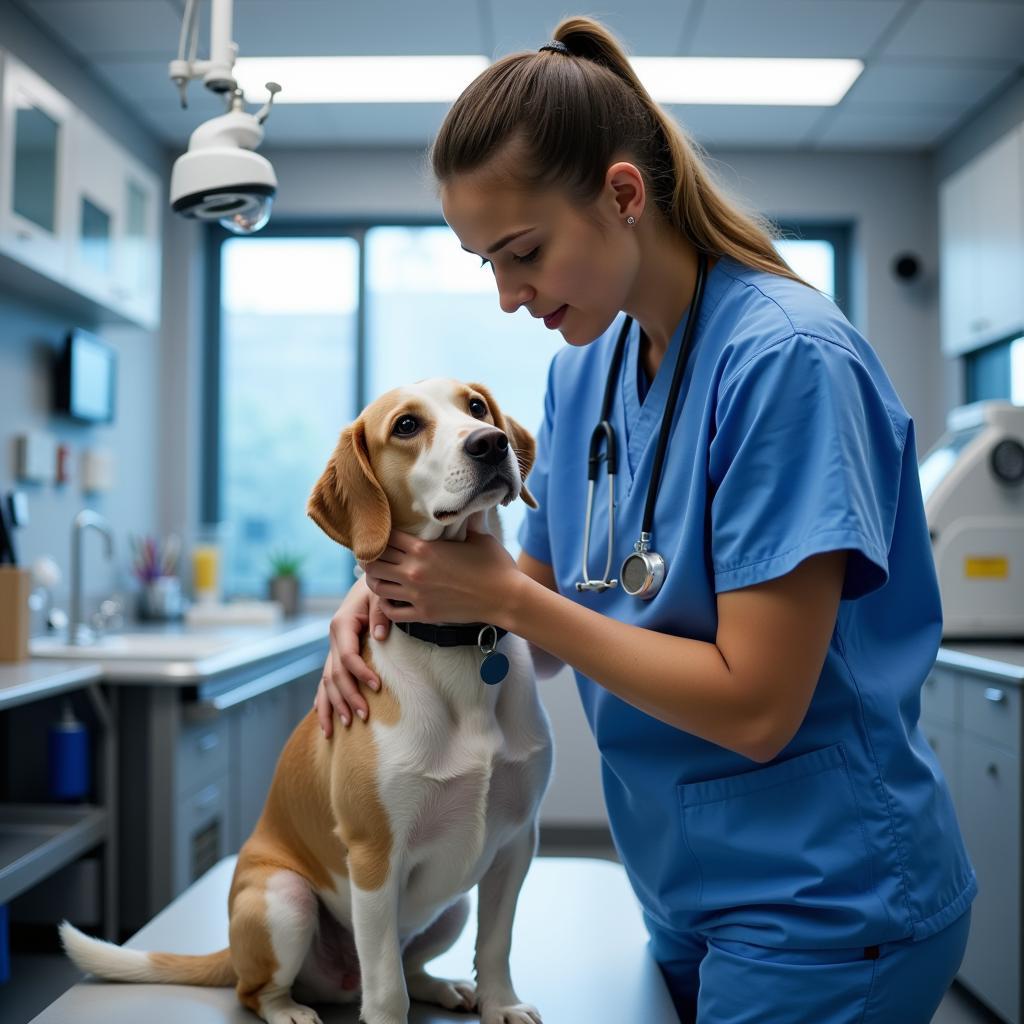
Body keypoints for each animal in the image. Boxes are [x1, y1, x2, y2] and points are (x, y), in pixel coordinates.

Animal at [59, 380, 557, 1024]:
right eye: (405, 426)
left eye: (474, 406)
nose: (491, 443)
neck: (459, 646)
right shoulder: (374, 857)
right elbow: (387, 991)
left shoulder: (516, 845)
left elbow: (496, 944)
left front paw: (501, 1004)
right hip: (283, 899)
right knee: (263, 990)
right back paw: (290, 1009)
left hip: (452, 909)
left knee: (412, 963)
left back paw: (443, 986)